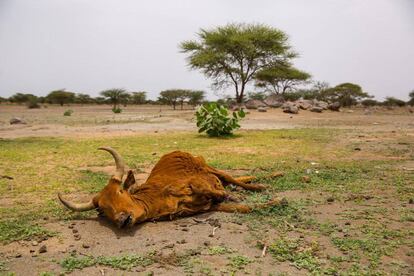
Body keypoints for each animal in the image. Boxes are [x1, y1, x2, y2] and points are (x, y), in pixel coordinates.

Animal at [58, 148, 278, 227]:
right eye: (102, 209)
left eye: (120, 191)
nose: (123, 220)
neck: (154, 199)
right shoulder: (205, 207)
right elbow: (243, 208)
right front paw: (275, 202)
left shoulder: (193, 183)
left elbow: (207, 189)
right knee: (237, 179)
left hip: (206, 166)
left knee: (229, 177)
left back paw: (264, 182)